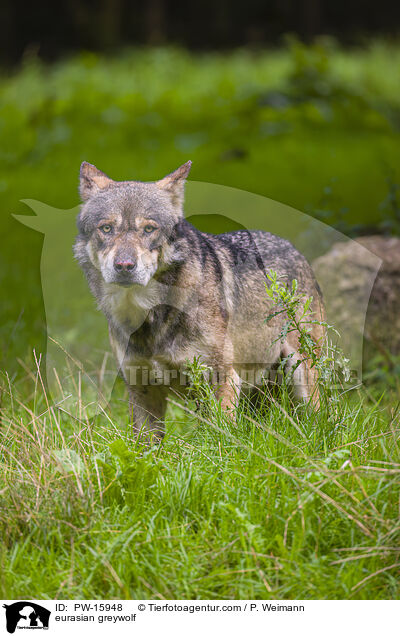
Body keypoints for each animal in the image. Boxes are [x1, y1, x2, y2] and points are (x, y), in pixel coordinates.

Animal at [74, 160, 324, 438]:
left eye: (149, 229)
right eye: (106, 228)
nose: (124, 265)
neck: (151, 318)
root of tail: (292, 247)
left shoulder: (223, 378)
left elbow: (222, 439)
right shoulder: (141, 389)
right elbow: (145, 447)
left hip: (300, 374)